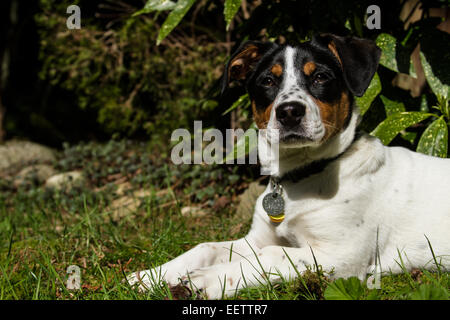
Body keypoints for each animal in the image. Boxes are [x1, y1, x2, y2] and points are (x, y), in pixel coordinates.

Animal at [126, 33, 450, 298]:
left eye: (320, 77)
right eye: (268, 81)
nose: (289, 112)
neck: (301, 177)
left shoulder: (342, 256)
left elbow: (273, 255)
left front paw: (206, 280)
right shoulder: (255, 239)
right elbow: (206, 247)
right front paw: (151, 275)